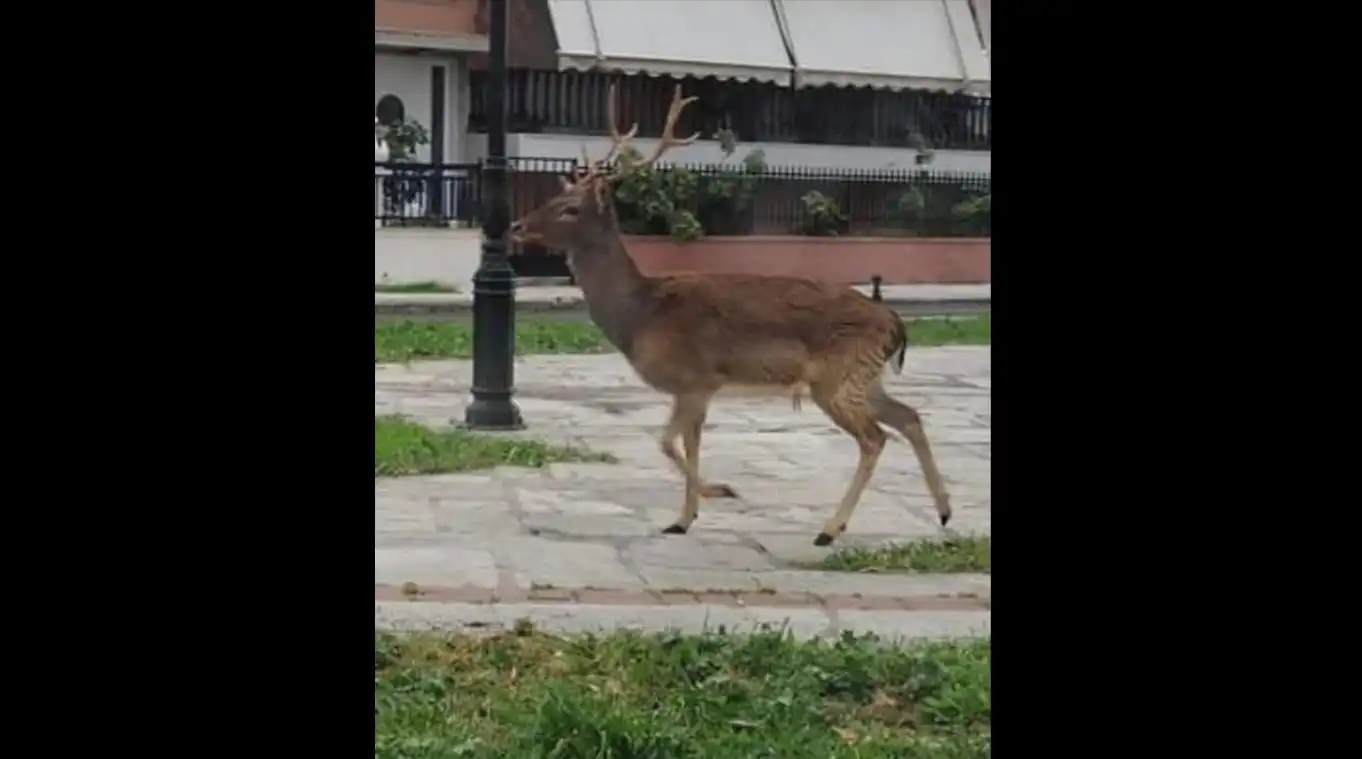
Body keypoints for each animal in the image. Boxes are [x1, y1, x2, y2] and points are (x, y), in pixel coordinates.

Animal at [506, 84, 953, 545]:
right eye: (554, 197)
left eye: (571, 208)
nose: (516, 226)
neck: (641, 314)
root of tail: (895, 323)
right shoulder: (697, 389)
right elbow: (690, 444)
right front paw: (684, 518)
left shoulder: (694, 380)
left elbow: (667, 443)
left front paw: (718, 492)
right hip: (864, 377)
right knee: (909, 417)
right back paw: (943, 512)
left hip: (838, 377)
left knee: (875, 438)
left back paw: (830, 529)